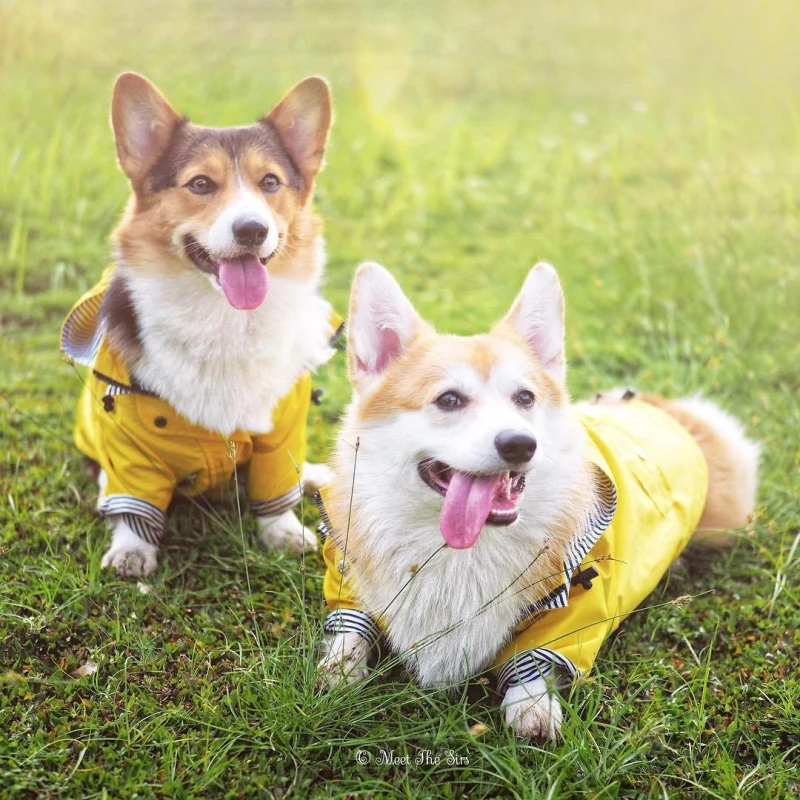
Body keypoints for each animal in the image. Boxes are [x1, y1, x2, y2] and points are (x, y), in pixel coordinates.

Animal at [59, 73, 340, 576]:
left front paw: (284, 531)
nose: (252, 230)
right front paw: (132, 552)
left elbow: (276, 486)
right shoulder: (130, 441)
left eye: (270, 181)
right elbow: (135, 503)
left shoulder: (282, 426)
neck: (224, 317)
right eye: (201, 183)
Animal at [316, 260, 760, 736]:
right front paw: (339, 669)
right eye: (449, 399)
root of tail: (665, 409)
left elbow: (538, 654)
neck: (454, 551)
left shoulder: (578, 598)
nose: (520, 444)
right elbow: (350, 625)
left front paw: (531, 706)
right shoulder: (346, 568)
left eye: (525, 397)